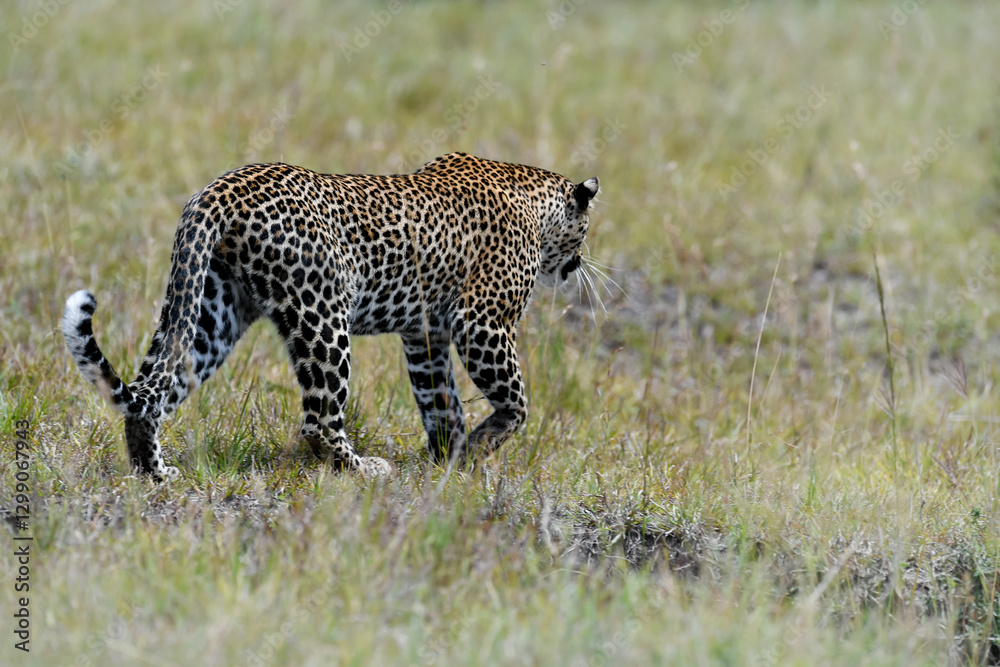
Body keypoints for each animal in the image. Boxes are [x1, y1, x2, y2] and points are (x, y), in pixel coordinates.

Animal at [61, 152, 599, 480]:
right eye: (587, 230)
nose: (579, 264)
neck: (535, 202)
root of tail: (219, 190)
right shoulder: (482, 321)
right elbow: (516, 400)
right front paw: (481, 447)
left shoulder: (424, 334)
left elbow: (442, 402)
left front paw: (450, 459)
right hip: (322, 314)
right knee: (317, 420)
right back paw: (362, 468)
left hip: (212, 313)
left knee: (151, 390)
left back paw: (153, 473)